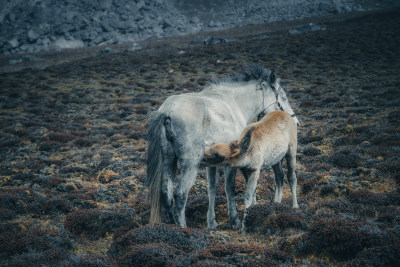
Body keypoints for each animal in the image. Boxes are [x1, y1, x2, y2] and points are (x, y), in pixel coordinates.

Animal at [145, 64, 298, 228]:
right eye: (283, 97)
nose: (295, 122)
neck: (236, 104)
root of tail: (168, 111)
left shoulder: (211, 165)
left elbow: (212, 188)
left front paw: (212, 222)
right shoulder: (231, 162)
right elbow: (229, 188)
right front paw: (235, 220)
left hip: (169, 161)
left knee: (166, 194)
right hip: (190, 165)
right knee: (180, 195)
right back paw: (184, 229)